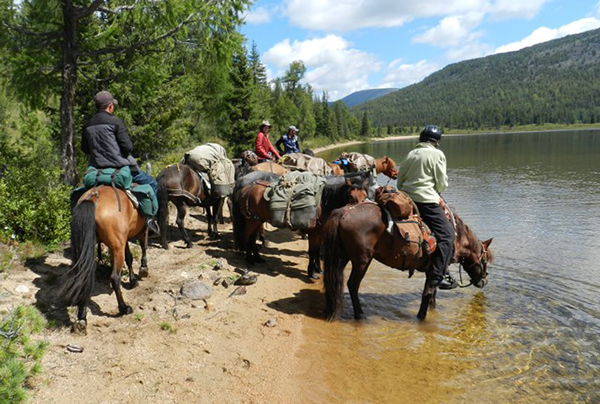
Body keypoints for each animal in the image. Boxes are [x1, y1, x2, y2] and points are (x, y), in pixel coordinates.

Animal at [61, 185, 150, 332]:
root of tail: (93, 197)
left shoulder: (123, 240)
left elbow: (129, 257)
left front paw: (133, 279)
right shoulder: (133, 236)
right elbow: (139, 249)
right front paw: (141, 270)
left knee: (83, 276)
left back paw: (82, 317)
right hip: (117, 247)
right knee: (114, 277)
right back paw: (124, 308)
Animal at [231, 170, 376, 278]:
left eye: (364, 196)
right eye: (351, 197)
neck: (323, 203)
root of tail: (245, 188)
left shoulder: (320, 233)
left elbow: (317, 251)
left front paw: (318, 269)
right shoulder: (314, 233)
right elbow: (312, 251)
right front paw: (311, 272)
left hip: (258, 220)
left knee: (252, 239)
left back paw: (257, 258)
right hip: (251, 221)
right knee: (246, 237)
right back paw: (249, 260)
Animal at [324, 204, 492, 320]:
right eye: (486, 260)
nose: (484, 281)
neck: (457, 237)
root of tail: (346, 211)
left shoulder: (431, 270)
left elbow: (432, 296)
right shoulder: (435, 270)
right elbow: (428, 293)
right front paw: (422, 318)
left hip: (342, 257)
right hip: (362, 260)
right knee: (353, 285)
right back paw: (360, 315)